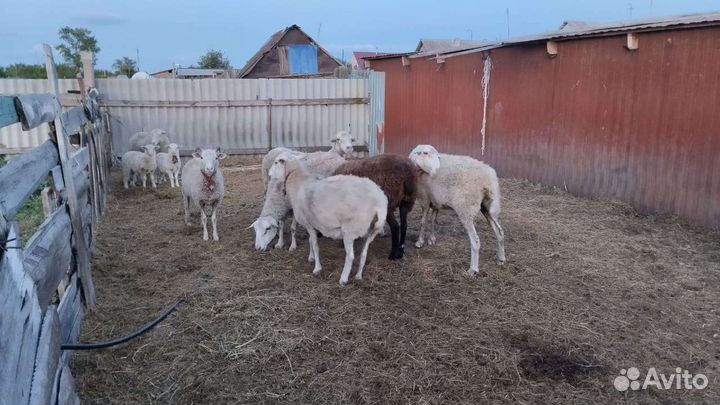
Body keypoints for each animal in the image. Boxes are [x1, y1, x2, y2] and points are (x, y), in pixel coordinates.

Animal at [269, 153, 387, 286]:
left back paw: (343, 279)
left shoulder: (309, 224)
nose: (269, 175)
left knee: (350, 256)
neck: (298, 183)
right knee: (364, 254)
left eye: (276, 162)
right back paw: (358, 276)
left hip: (349, 230)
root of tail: (378, 202)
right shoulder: (312, 223)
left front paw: (317, 268)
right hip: (371, 231)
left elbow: (315, 245)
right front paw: (311, 258)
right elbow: (310, 241)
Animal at [409, 145, 506, 274]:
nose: (437, 169)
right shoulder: (435, 200)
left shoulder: (424, 198)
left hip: (466, 208)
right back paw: (501, 258)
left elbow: (423, 221)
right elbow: (433, 219)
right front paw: (431, 239)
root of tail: (488, 179)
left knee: (475, 241)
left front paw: (420, 242)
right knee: (499, 232)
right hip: (488, 206)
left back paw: (473, 269)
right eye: (425, 153)